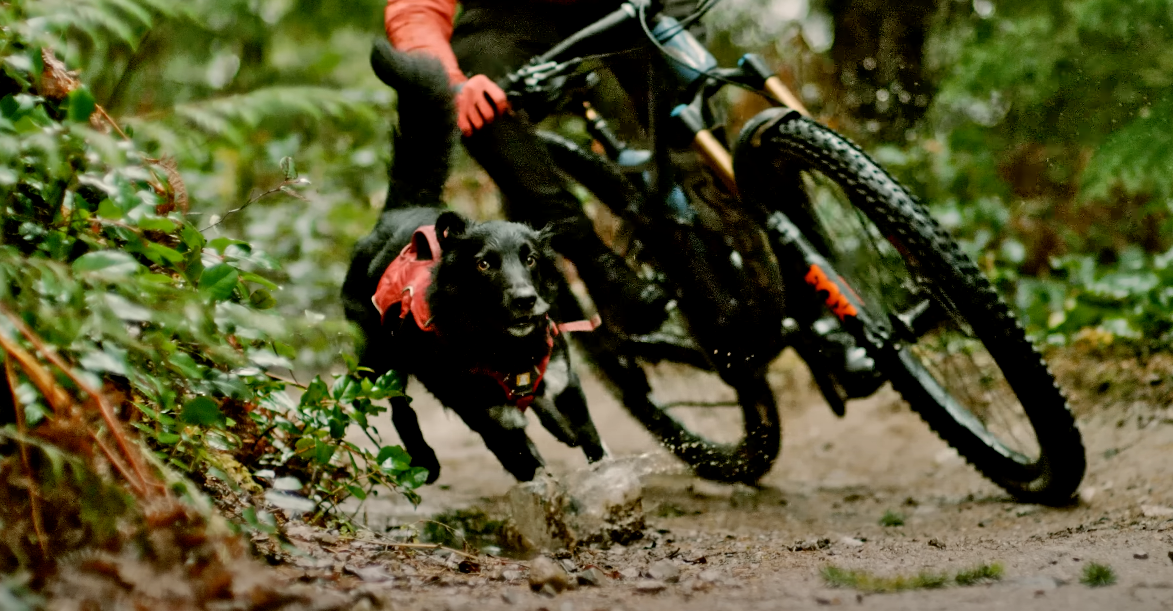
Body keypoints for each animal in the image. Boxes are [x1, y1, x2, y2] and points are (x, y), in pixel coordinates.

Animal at [340, 40, 609, 483]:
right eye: (484, 264)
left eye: (530, 258)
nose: (525, 300)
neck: (508, 349)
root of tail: (400, 210)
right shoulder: (491, 422)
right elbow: (534, 471)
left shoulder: (566, 384)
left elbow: (592, 443)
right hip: (382, 354)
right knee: (389, 402)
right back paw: (424, 458)